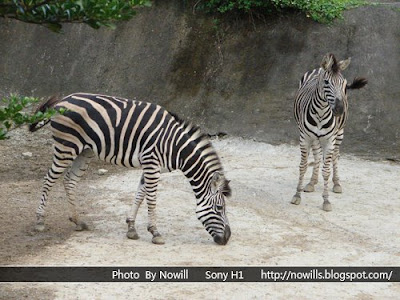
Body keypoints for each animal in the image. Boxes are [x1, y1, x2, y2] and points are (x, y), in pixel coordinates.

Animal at [28, 92, 231, 245]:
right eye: (220, 208)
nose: (227, 238)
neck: (176, 147)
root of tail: (62, 100)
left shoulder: (153, 167)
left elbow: (140, 194)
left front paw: (131, 228)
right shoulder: (151, 164)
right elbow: (151, 199)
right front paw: (155, 232)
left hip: (84, 151)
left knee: (70, 181)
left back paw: (78, 221)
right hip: (66, 147)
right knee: (48, 179)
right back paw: (39, 221)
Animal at [292, 54, 368, 212]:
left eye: (344, 85)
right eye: (326, 82)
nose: (339, 110)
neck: (321, 113)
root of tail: (319, 68)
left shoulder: (330, 139)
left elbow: (326, 170)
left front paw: (326, 201)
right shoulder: (304, 137)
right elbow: (303, 166)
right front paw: (297, 195)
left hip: (339, 133)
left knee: (335, 156)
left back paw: (336, 183)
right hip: (315, 138)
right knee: (317, 155)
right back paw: (312, 182)